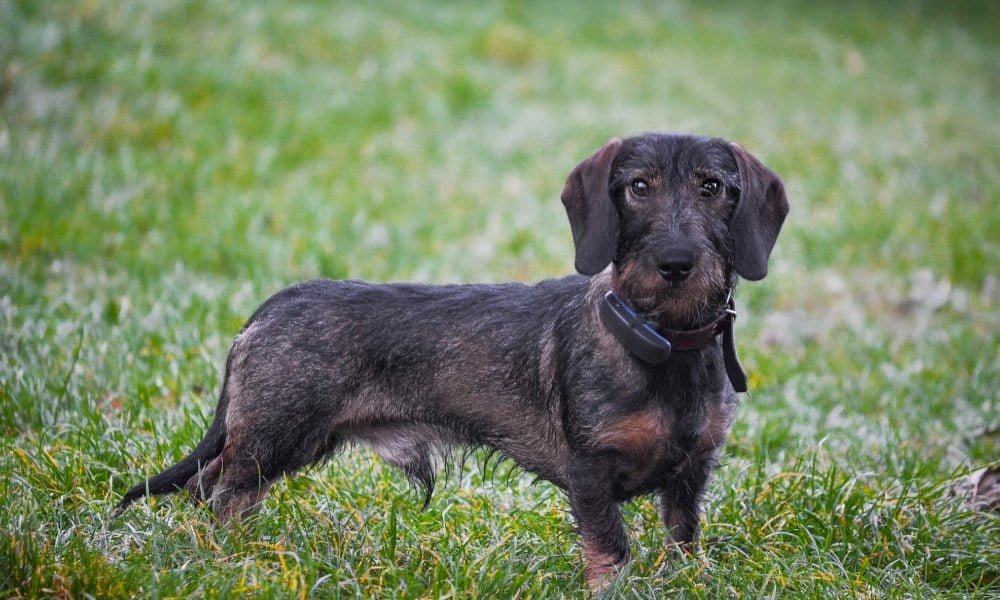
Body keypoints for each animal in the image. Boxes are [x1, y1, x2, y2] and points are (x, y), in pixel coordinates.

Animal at [117, 134, 788, 588]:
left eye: (712, 186)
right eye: (638, 187)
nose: (676, 262)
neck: (661, 342)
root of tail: (267, 310)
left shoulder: (690, 475)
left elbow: (683, 542)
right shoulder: (590, 474)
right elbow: (611, 552)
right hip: (277, 434)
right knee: (219, 491)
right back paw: (227, 562)